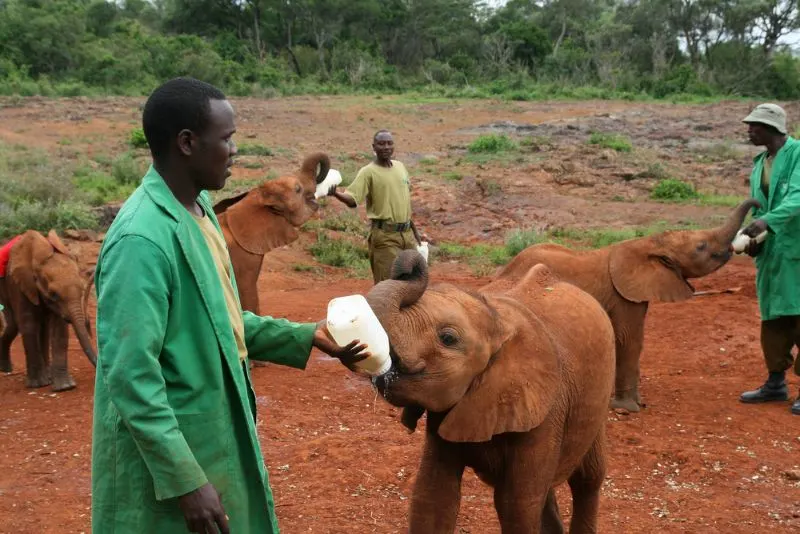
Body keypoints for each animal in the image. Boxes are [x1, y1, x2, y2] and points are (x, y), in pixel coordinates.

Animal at [366, 249, 616, 532]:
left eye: (448, 338)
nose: (411, 264)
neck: (497, 318)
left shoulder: (546, 410)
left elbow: (516, 505)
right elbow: (433, 494)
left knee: (588, 479)